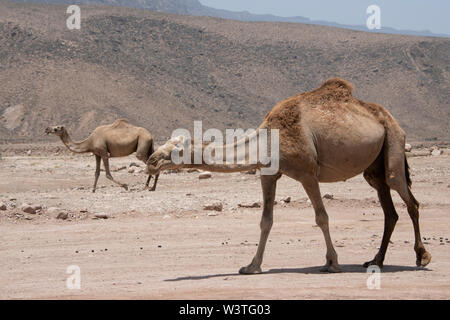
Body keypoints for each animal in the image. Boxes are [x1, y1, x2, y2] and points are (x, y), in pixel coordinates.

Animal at [146, 79, 430, 274]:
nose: (150, 161)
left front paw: (332, 262)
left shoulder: (307, 173)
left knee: (409, 199)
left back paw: (422, 257)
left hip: (393, 142)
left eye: (175, 149)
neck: (269, 138)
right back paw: (376, 260)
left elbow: (322, 217)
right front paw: (251, 266)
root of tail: (387, 117)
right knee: (389, 210)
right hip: (374, 167)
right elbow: (266, 221)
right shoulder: (268, 174)